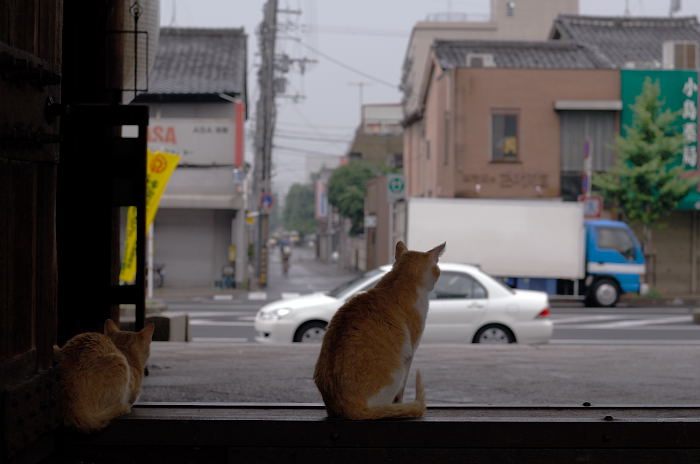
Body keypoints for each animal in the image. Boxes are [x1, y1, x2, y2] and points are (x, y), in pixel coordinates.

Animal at [314, 243, 446, 420]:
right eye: (437, 269)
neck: (397, 281)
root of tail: (347, 407)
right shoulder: (410, 354)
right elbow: (401, 391)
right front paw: (400, 404)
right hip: (397, 370)